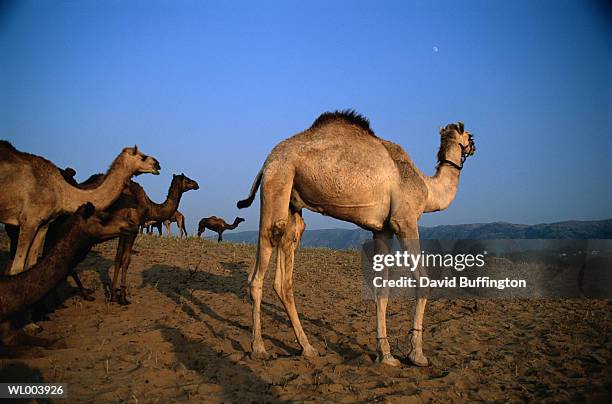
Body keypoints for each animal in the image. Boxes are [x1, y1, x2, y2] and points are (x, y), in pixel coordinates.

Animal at [0, 142, 160, 274]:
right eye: (143, 156)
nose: (158, 164)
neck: (61, 192)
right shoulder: (29, 221)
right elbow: (17, 269)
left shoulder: (44, 224)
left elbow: (31, 265)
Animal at [237, 109, 476, 366]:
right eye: (470, 136)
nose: (474, 147)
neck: (427, 188)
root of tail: (267, 162)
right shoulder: (405, 220)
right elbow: (422, 280)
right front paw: (417, 354)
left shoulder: (383, 229)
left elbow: (382, 288)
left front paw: (386, 354)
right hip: (278, 180)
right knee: (263, 259)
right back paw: (258, 348)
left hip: (292, 201)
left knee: (286, 259)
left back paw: (307, 347)